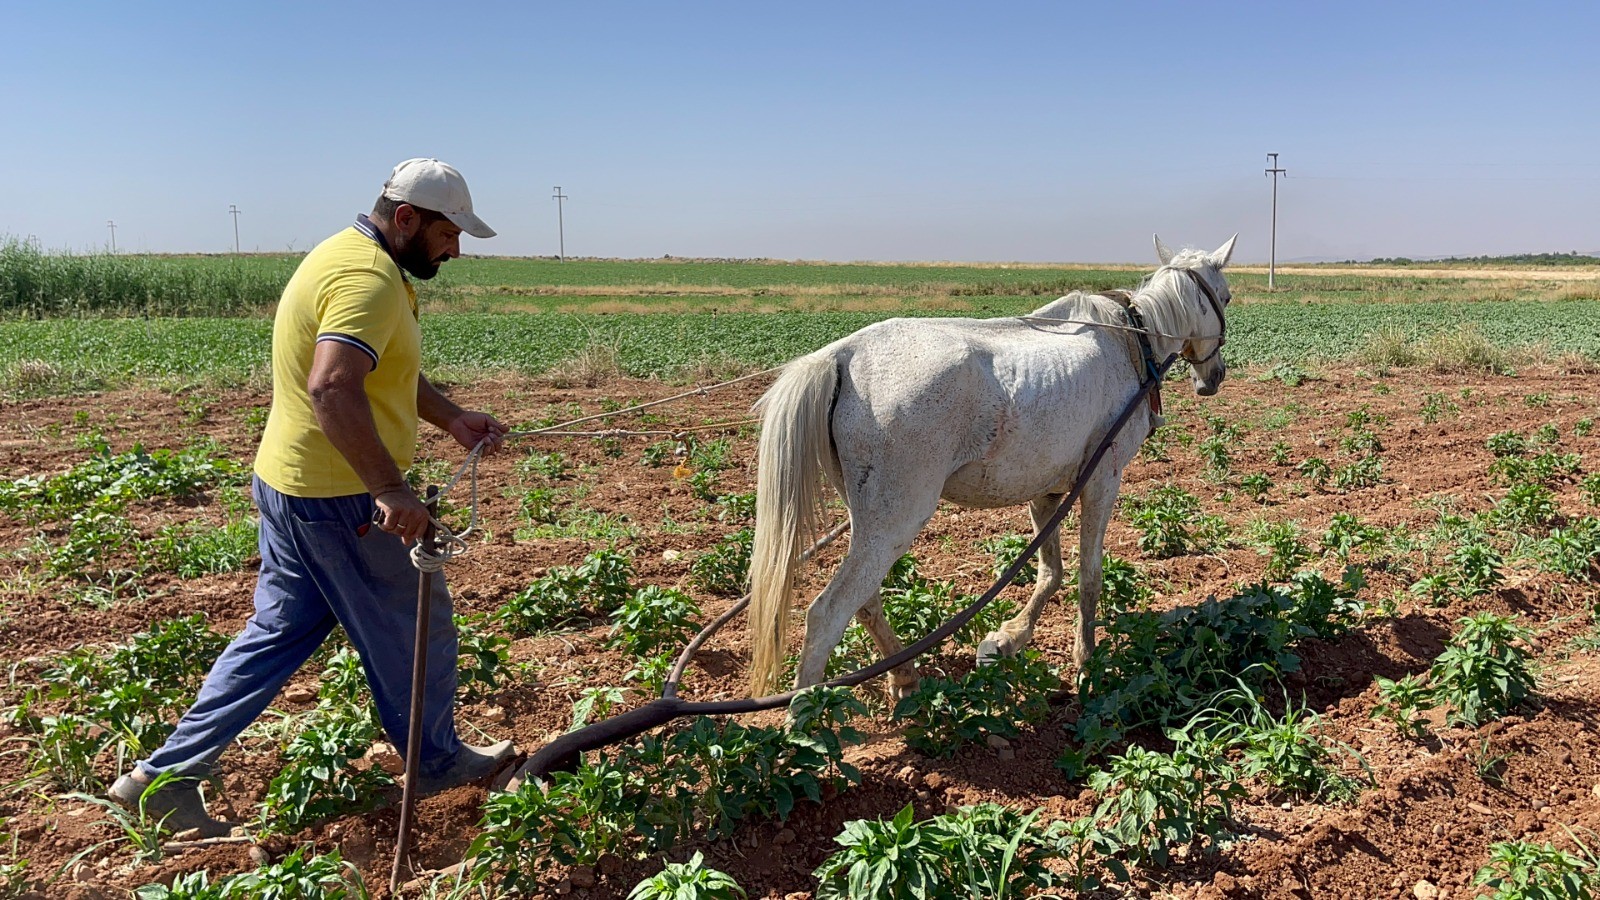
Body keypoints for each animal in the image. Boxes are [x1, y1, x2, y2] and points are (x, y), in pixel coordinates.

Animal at [745, 232, 1235, 695]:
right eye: (1226, 297)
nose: (1214, 378)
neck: (1133, 343)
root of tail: (841, 355)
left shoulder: (1048, 490)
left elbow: (1050, 573)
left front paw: (1007, 639)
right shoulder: (1101, 480)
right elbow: (1089, 575)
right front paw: (1087, 662)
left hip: (865, 518)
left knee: (865, 601)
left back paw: (905, 676)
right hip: (895, 520)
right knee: (827, 614)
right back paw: (808, 716)